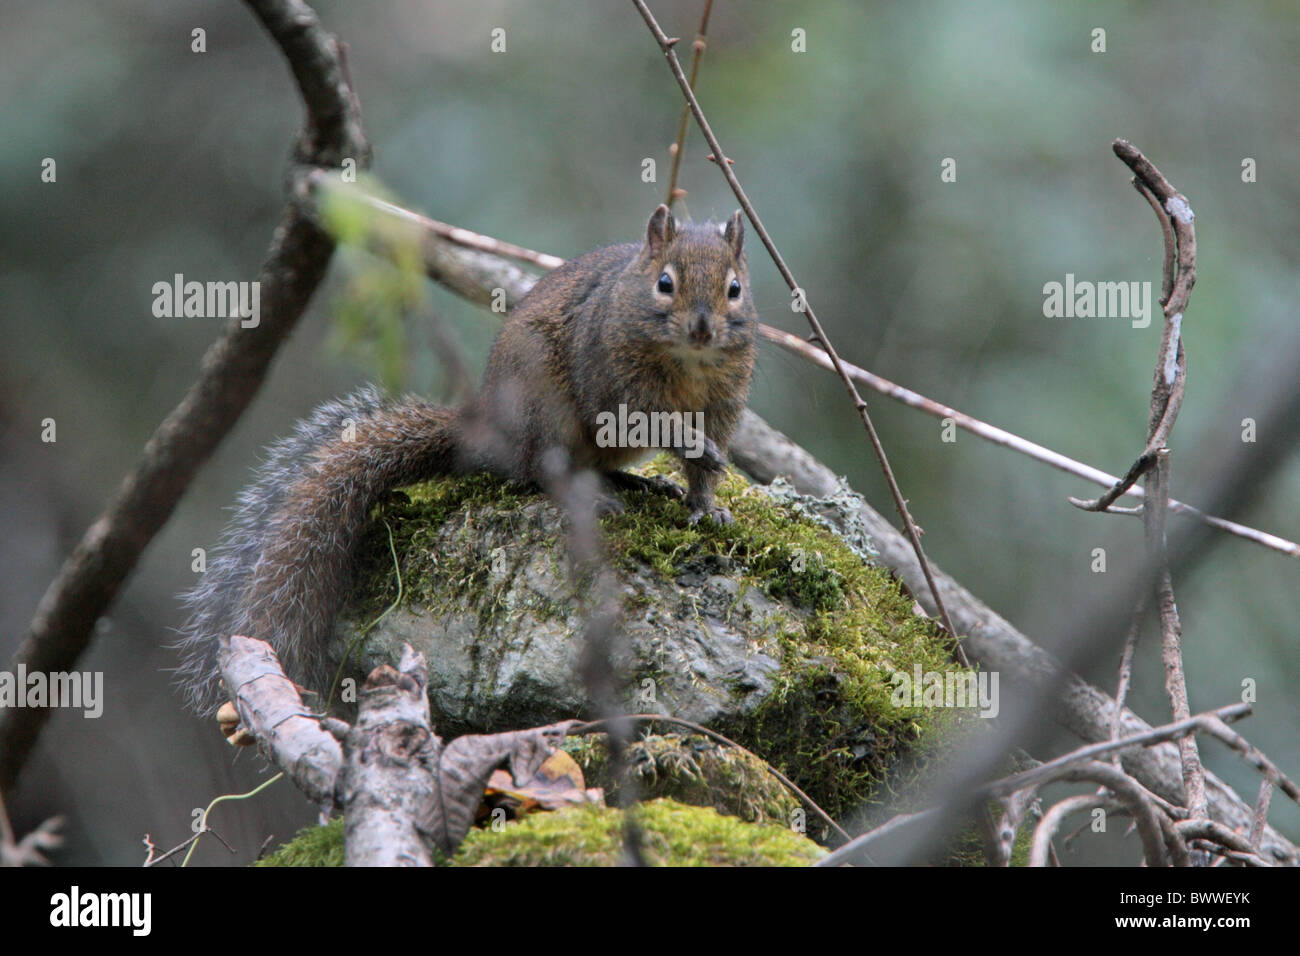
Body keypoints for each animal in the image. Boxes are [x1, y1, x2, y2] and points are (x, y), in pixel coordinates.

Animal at [175, 208, 759, 717]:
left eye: (735, 289)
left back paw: (641, 484)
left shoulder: (724, 402)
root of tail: (489, 432)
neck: (690, 363)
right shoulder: (616, 382)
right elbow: (653, 423)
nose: (702, 328)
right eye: (664, 283)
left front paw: (706, 505)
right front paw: (692, 449)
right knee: (543, 469)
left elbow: (707, 466)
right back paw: (591, 492)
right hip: (541, 404)